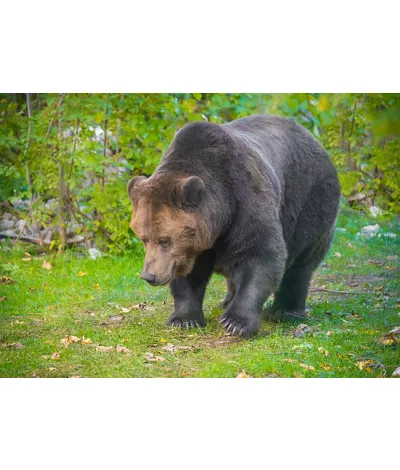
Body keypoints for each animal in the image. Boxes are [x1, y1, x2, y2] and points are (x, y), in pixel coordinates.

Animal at [128, 116, 340, 340]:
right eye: (144, 238)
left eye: (164, 239)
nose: (149, 276)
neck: (221, 215)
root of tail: (314, 139)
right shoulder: (194, 247)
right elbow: (188, 275)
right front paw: (184, 319)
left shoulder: (245, 198)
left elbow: (261, 254)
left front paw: (236, 322)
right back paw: (227, 301)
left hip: (309, 202)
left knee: (301, 263)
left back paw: (285, 311)